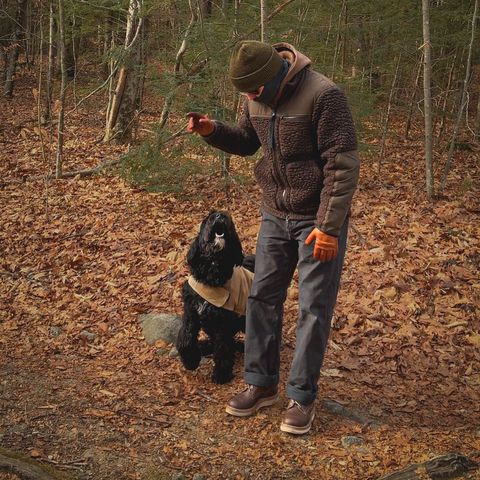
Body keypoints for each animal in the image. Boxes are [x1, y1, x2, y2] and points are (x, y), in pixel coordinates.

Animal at [174, 212, 253, 384]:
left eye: (229, 218)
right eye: (209, 217)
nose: (220, 215)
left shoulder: (223, 321)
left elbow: (222, 347)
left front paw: (221, 373)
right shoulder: (191, 312)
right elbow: (186, 337)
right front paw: (190, 360)